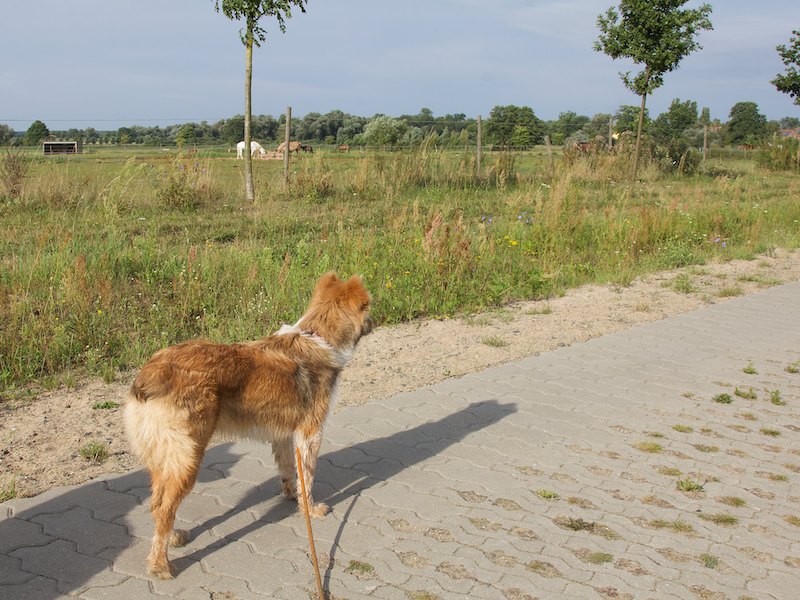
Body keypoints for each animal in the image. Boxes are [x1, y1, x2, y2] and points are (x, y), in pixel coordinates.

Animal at [124, 272, 373, 579]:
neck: (318, 337)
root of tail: (150, 373)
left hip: (164, 458)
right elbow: (309, 478)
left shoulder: (284, 435)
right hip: (187, 457)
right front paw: (311, 509)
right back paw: (160, 565)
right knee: (164, 509)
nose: (377, 321)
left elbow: (290, 472)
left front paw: (291, 496)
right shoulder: (310, 433)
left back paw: (174, 537)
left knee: (158, 503)